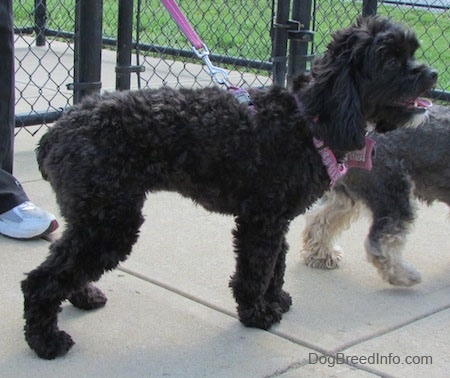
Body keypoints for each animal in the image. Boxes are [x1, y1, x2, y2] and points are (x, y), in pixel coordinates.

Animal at [300, 104, 448, 286]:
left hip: (347, 193)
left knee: (319, 219)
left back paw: (322, 255)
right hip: (393, 193)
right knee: (381, 242)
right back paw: (403, 275)